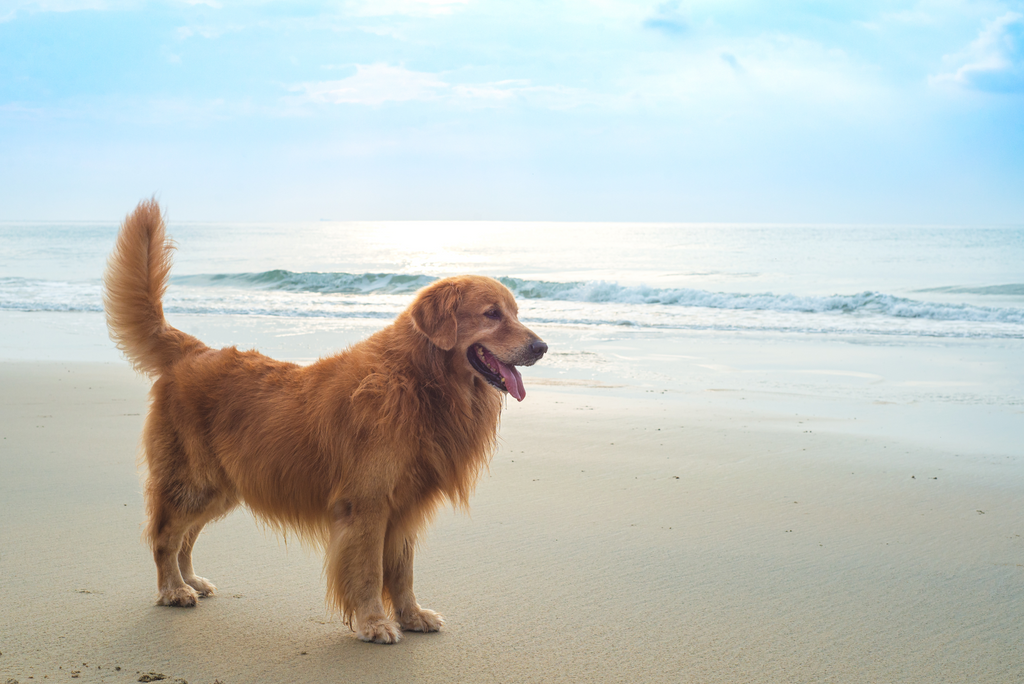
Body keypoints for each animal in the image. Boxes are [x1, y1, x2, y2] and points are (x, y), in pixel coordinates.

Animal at [103, 200, 548, 643]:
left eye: (516, 313)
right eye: (492, 314)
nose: (541, 346)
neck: (418, 381)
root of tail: (193, 351)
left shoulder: (404, 507)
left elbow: (402, 573)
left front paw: (412, 615)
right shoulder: (367, 503)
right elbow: (369, 572)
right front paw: (373, 622)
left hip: (222, 487)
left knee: (186, 536)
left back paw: (190, 580)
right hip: (195, 481)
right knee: (165, 535)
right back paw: (172, 589)